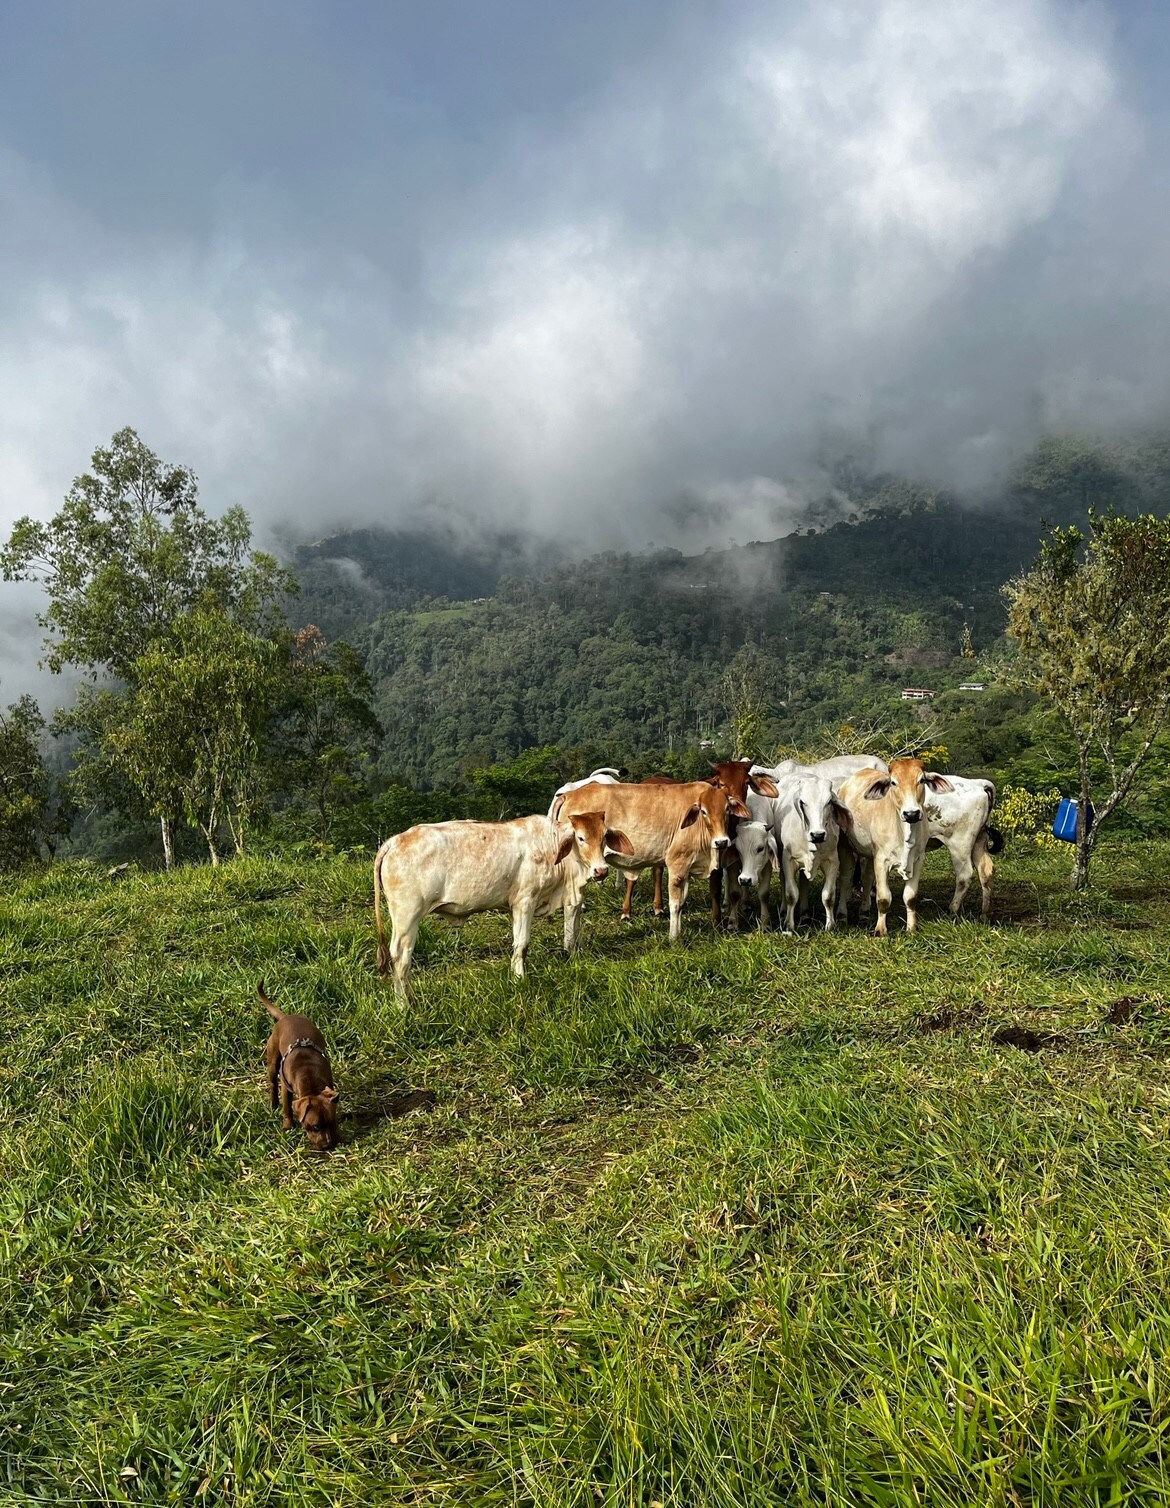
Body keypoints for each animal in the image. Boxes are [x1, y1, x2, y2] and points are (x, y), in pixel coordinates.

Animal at [259, 983, 337, 1146]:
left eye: (333, 1122)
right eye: (315, 1127)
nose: (329, 1144)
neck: (310, 1081)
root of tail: (285, 1017)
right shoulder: (286, 1088)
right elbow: (287, 1107)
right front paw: (288, 1125)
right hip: (273, 1061)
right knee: (273, 1083)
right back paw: (273, 1103)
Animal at [372, 814, 630, 1001]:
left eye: (604, 837)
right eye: (581, 838)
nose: (601, 870)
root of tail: (394, 841)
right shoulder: (525, 901)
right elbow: (522, 944)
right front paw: (520, 979)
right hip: (407, 917)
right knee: (400, 958)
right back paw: (405, 1003)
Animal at [551, 784, 744, 934]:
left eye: (727, 809)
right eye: (704, 811)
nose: (721, 841)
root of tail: (569, 795)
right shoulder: (677, 863)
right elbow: (675, 904)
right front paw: (674, 938)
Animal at [832, 760, 952, 934]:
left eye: (922, 780)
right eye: (893, 783)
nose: (911, 814)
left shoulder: (918, 860)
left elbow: (910, 897)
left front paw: (911, 928)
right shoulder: (882, 860)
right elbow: (883, 898)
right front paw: (880, 931)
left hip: (870, 855)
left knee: (867, 879)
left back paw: (864, 913)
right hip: (845, 847)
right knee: (845, 878)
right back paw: (842, 915)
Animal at [928, 778, 1001, 916]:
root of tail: (978, 783)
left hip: (959, 844)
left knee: (964, 876)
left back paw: (952, 911)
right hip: (979, 839)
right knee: (985, 870)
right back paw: (984, 914)